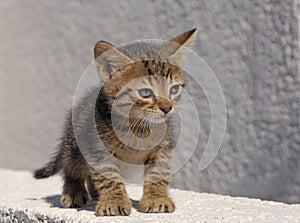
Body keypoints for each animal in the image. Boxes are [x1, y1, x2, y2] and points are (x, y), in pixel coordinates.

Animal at [34, 28, 197, 217]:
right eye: (146, 93)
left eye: (174, 89)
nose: (167, 108)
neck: (138, 127)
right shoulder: (97, 148)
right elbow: (109, 177)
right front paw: (114, 202)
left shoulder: (163, 147)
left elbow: (158, 173)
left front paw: (157, 199)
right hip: (75, 146)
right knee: (71, 168)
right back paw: (73, 192)